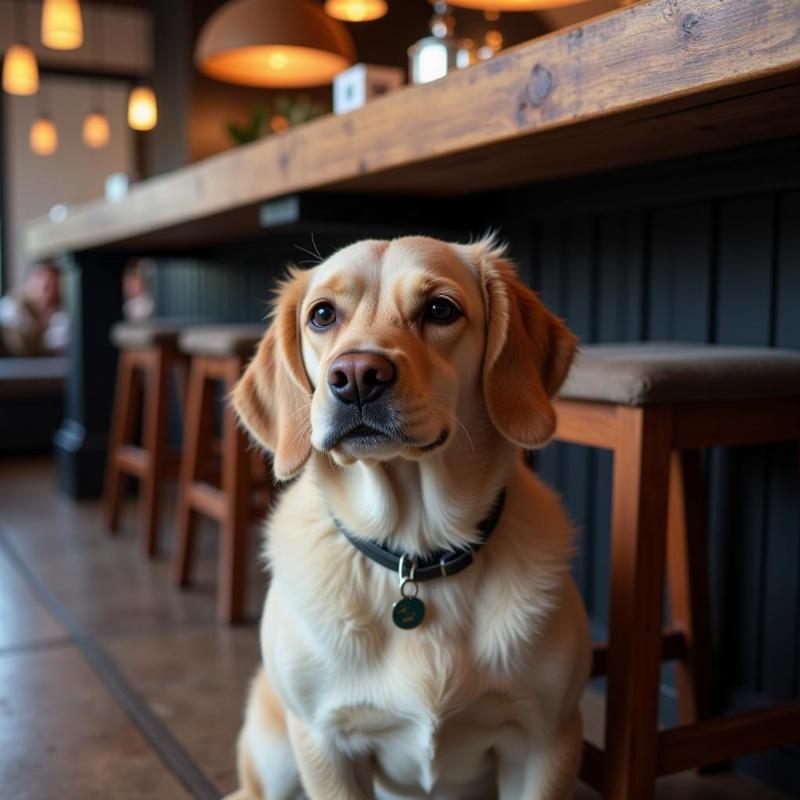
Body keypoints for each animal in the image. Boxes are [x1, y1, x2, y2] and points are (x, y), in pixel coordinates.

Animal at [228, 234, 592, 796]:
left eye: (440, 309)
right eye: (322, 315)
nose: (355, 376)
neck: (415, 551)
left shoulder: (546, 742)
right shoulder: (324, 745)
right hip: (277, 757)